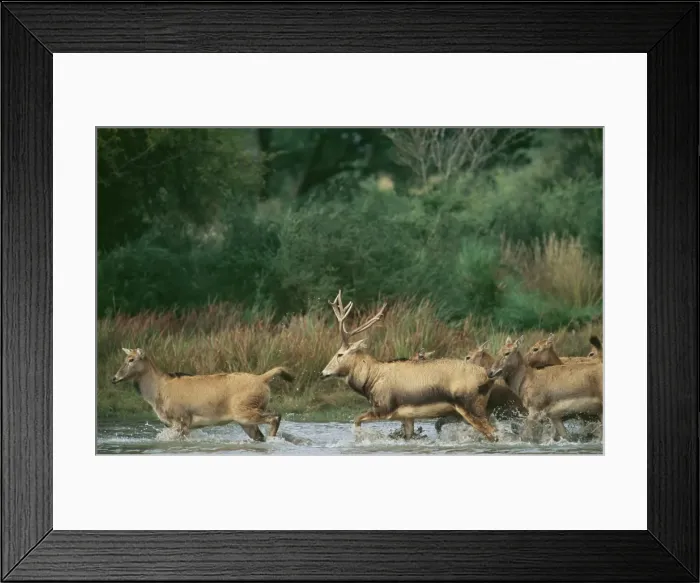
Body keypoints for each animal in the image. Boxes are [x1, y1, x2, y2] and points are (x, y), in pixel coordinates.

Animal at [111, 348, 293, 441]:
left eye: (131, 360)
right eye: (125, 358)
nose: (114, 378)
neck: (157, 393)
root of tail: (263, 379)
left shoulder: (182, 419)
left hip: (244, 410)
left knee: (275, 416)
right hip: (246, 419)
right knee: (261, 433)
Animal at [320, 290, 499, 441]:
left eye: (339, 354)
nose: (323, 373)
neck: (371, 381)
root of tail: (487, 376)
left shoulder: (383, 408)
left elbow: (357, 420)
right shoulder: (406, 415)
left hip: (470, 404)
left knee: (492, 433)